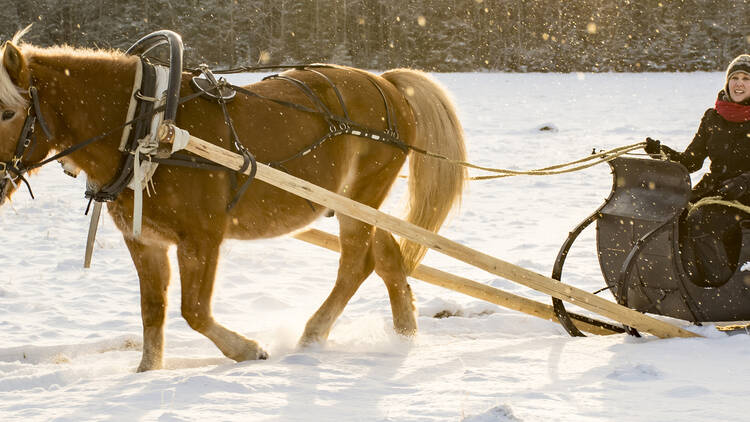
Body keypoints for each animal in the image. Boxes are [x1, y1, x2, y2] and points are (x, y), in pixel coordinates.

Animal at [0, 29, 468, 370]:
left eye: (7, 111)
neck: (148, 126)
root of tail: (386, 82)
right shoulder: (145, 241)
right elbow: (153, 312)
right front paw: (147, 374)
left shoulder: (202, 237)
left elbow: (193, 310)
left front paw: (247, 350)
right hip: (357, 203)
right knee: (387, 255)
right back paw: (404, 333)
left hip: (362, 193)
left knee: (357, 262)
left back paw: (313, 335)